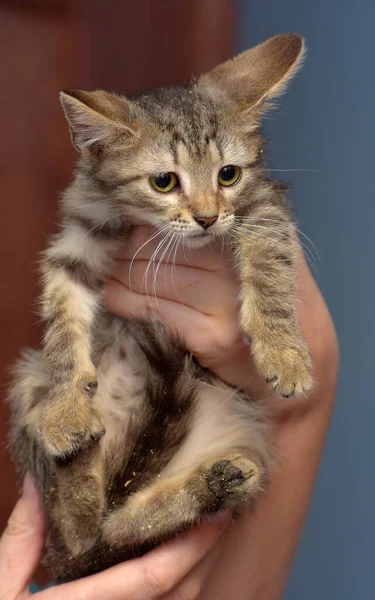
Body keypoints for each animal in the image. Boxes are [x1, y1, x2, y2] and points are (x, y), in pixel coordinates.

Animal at [8, 34, 314, 580]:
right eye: (164, 182)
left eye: (228, 175)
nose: (208, 218)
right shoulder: (77, 239)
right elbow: (62, 321)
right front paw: (67, 405)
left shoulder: (262, 206)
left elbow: (271, 265)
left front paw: (284, 352)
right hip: (26, 383)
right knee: (84, 538)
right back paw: (80, 487)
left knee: (123, 529)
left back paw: (212, 485)